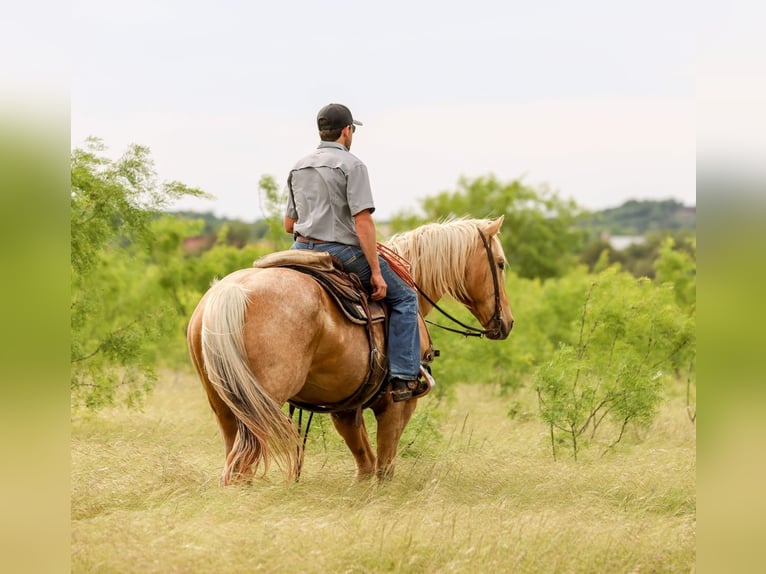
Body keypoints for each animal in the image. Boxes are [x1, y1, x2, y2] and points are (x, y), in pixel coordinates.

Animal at [187, 216, 514, 485]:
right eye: (500, 263)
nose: (507, 323)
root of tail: (231, 292)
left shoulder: (345, 408)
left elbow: (365, 464)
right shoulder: (398, 403)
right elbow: (384, 466)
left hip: (226, 407)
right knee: (239, 468)